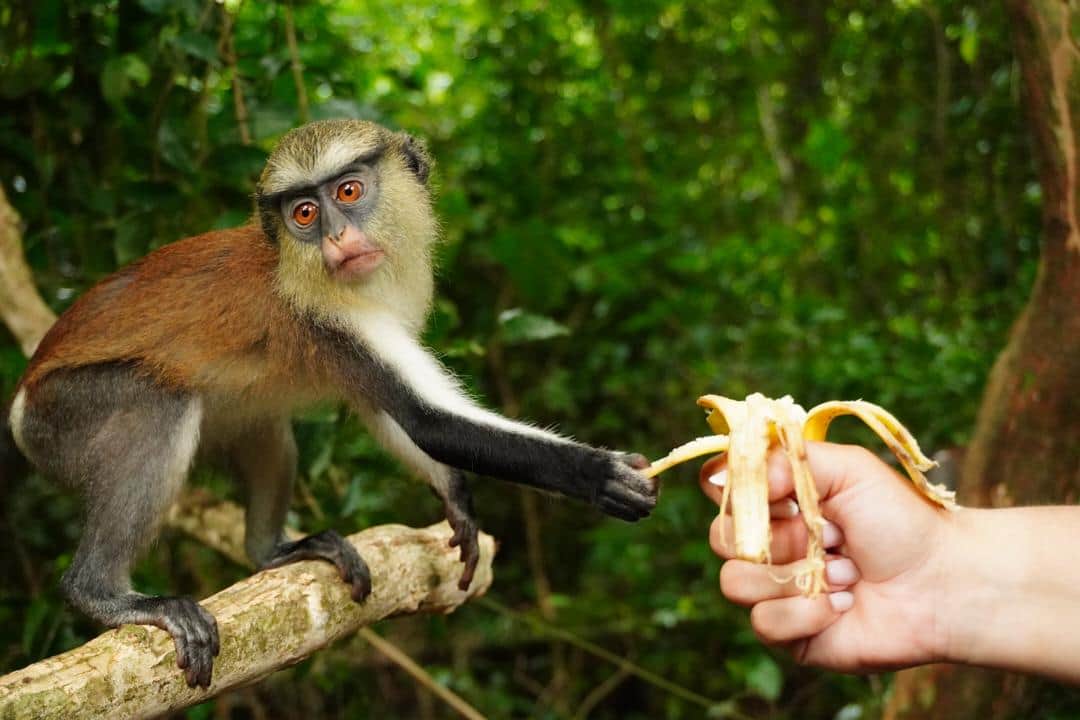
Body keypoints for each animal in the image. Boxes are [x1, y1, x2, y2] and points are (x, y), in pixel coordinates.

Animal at [7, 119, 658, 689]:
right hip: (68, 414)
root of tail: (22, 400)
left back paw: (273, 551)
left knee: (269, 431)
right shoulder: (332, 319)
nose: (338, 238)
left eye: (348, 191)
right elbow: (429, 421)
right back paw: (103, 592)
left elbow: (387, 411)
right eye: (304, 214)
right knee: (157, 402)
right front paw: (602, 475)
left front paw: (456, 498)